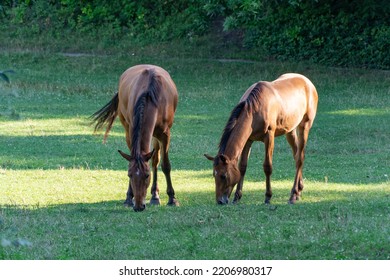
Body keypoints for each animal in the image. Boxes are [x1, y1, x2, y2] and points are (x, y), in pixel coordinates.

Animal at [93, 64, 180, 211]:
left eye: (147, 175)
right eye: (130, 175)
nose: (139, 206)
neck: (151, 97)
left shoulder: (165, 134)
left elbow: (165, 165)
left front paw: (172, 199)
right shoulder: (130, 131)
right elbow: (131, 160)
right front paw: (129, 197)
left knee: (155, 160)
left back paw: (155, 196)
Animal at [204, 73, 316, 205]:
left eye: (223, 176)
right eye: (213, 174)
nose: (220, 201)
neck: (254, 110)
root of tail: (307, 82)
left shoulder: (269, 137)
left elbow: (267, 167)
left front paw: (268, 197)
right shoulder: (248, 140)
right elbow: (242, 167)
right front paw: (237, 197)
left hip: (304, 126)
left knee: (300, 158)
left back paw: (293, 195)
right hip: (290, 131)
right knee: (297, 154)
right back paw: (299, 190)